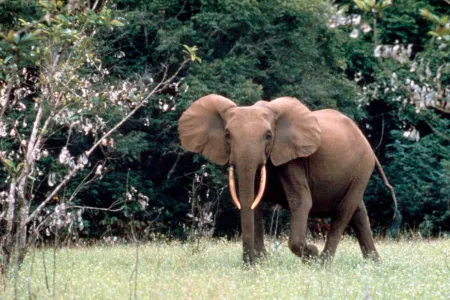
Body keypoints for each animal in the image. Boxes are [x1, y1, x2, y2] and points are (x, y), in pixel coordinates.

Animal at [178, 94, 400, 264]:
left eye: (268, 135)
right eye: (227, 135)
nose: (247, 265)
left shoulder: (293, 160)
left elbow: (301, 201)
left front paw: (311, 253)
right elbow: (252, 202)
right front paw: (262, 263)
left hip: (362, 167)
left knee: (344, 211)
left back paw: (323, 263)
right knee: (358, 212)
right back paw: (374, 264)